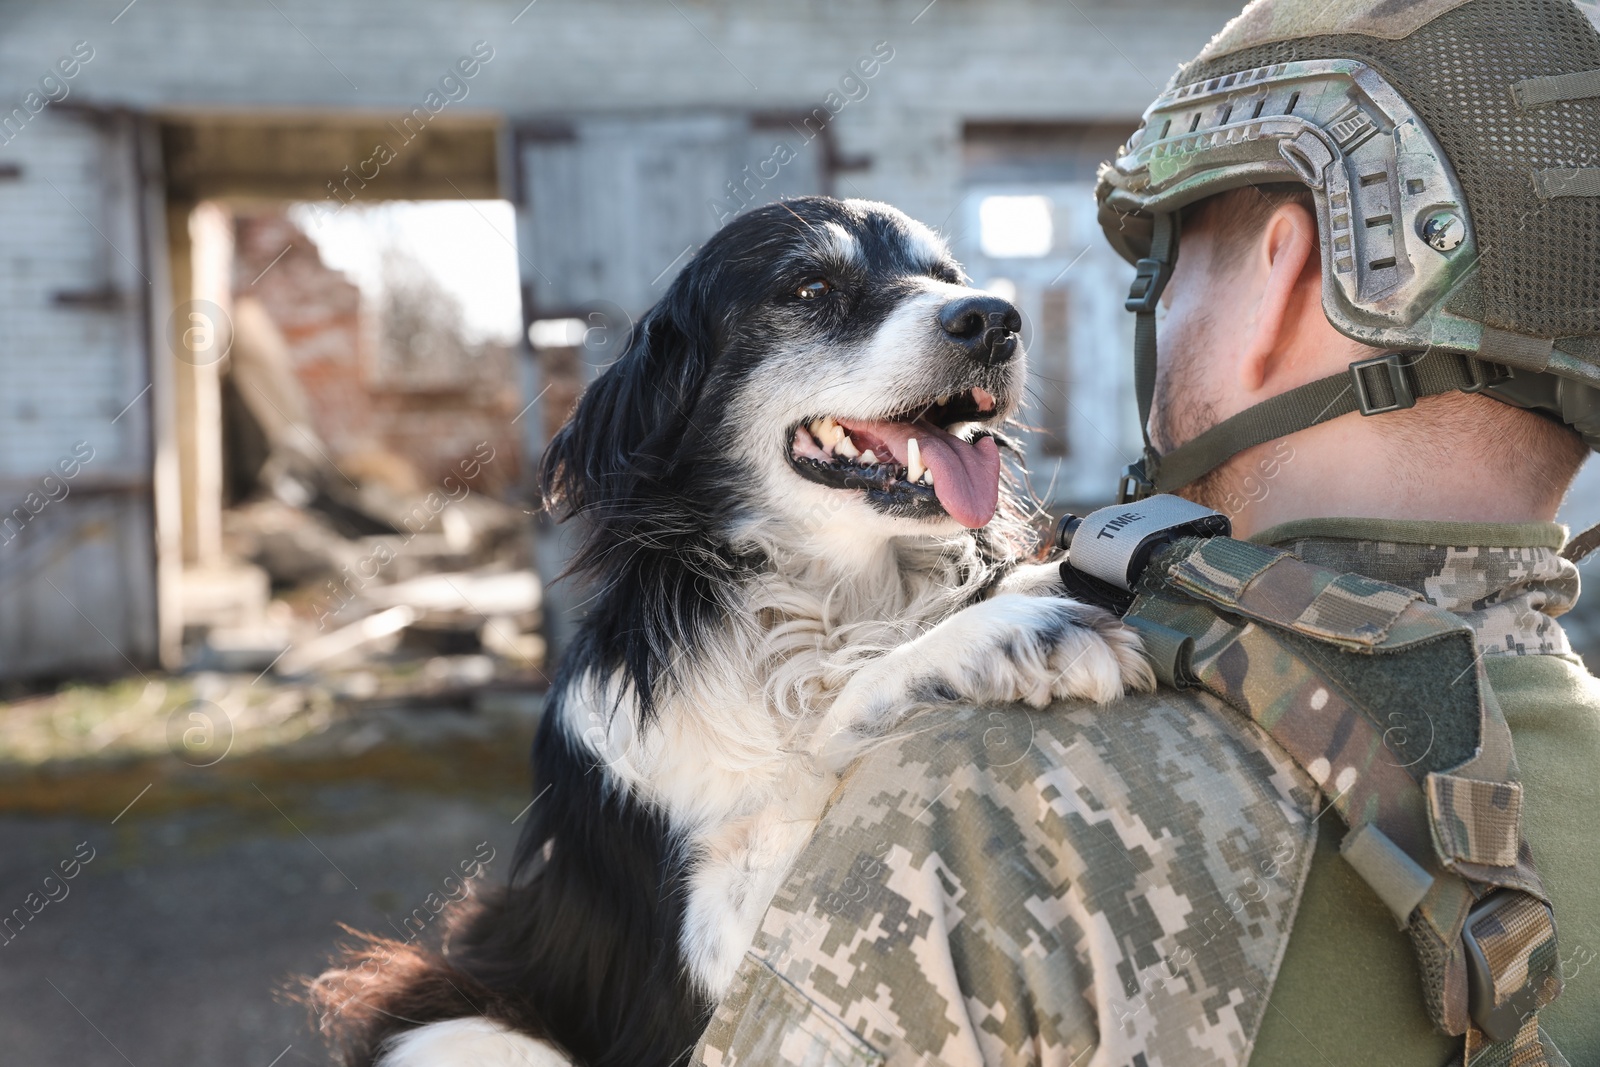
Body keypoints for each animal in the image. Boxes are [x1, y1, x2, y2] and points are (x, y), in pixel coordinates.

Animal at [308, 195, 1152, 1062]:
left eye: (947, 277)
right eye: (810, 287)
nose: (994, 320)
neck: (831, 598)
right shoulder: (700, 970)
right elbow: (836, 724)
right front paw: (997, 632)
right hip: (464, 1028)